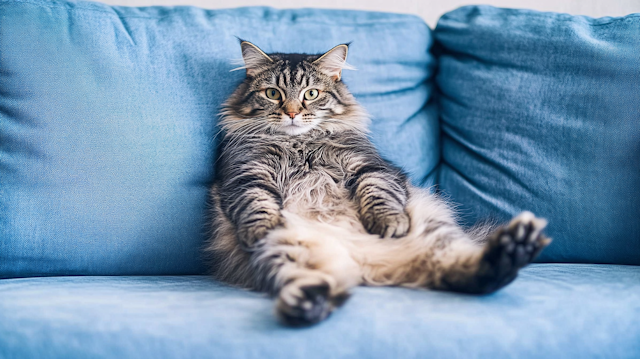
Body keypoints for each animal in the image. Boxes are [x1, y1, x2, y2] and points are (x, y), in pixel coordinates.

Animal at [206, 40, 552, 328]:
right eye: (273, 94)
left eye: (311, 94)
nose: (291, 113)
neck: (299, 144)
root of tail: (366, 264)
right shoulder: (245, 175)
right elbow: (258, 205)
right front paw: (261, 229)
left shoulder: (369, 167)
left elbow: (378, 195)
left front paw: (388, 223)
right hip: (285, 249)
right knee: (312, 282)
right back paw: (306, 303)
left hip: (433, 229)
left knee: (462, 271)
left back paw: (513, 249)